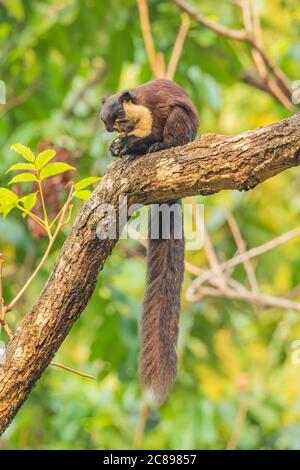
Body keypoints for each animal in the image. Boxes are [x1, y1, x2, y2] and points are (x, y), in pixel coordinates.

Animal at [100, 78, 199, 404]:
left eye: (118, 113)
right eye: (103, 118)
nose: (111, 129)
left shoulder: (155, 113)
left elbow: (150, 134)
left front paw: (129, 145)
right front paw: (116, 147)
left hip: (181, 120)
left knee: (170, 141)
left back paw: (157, 147)